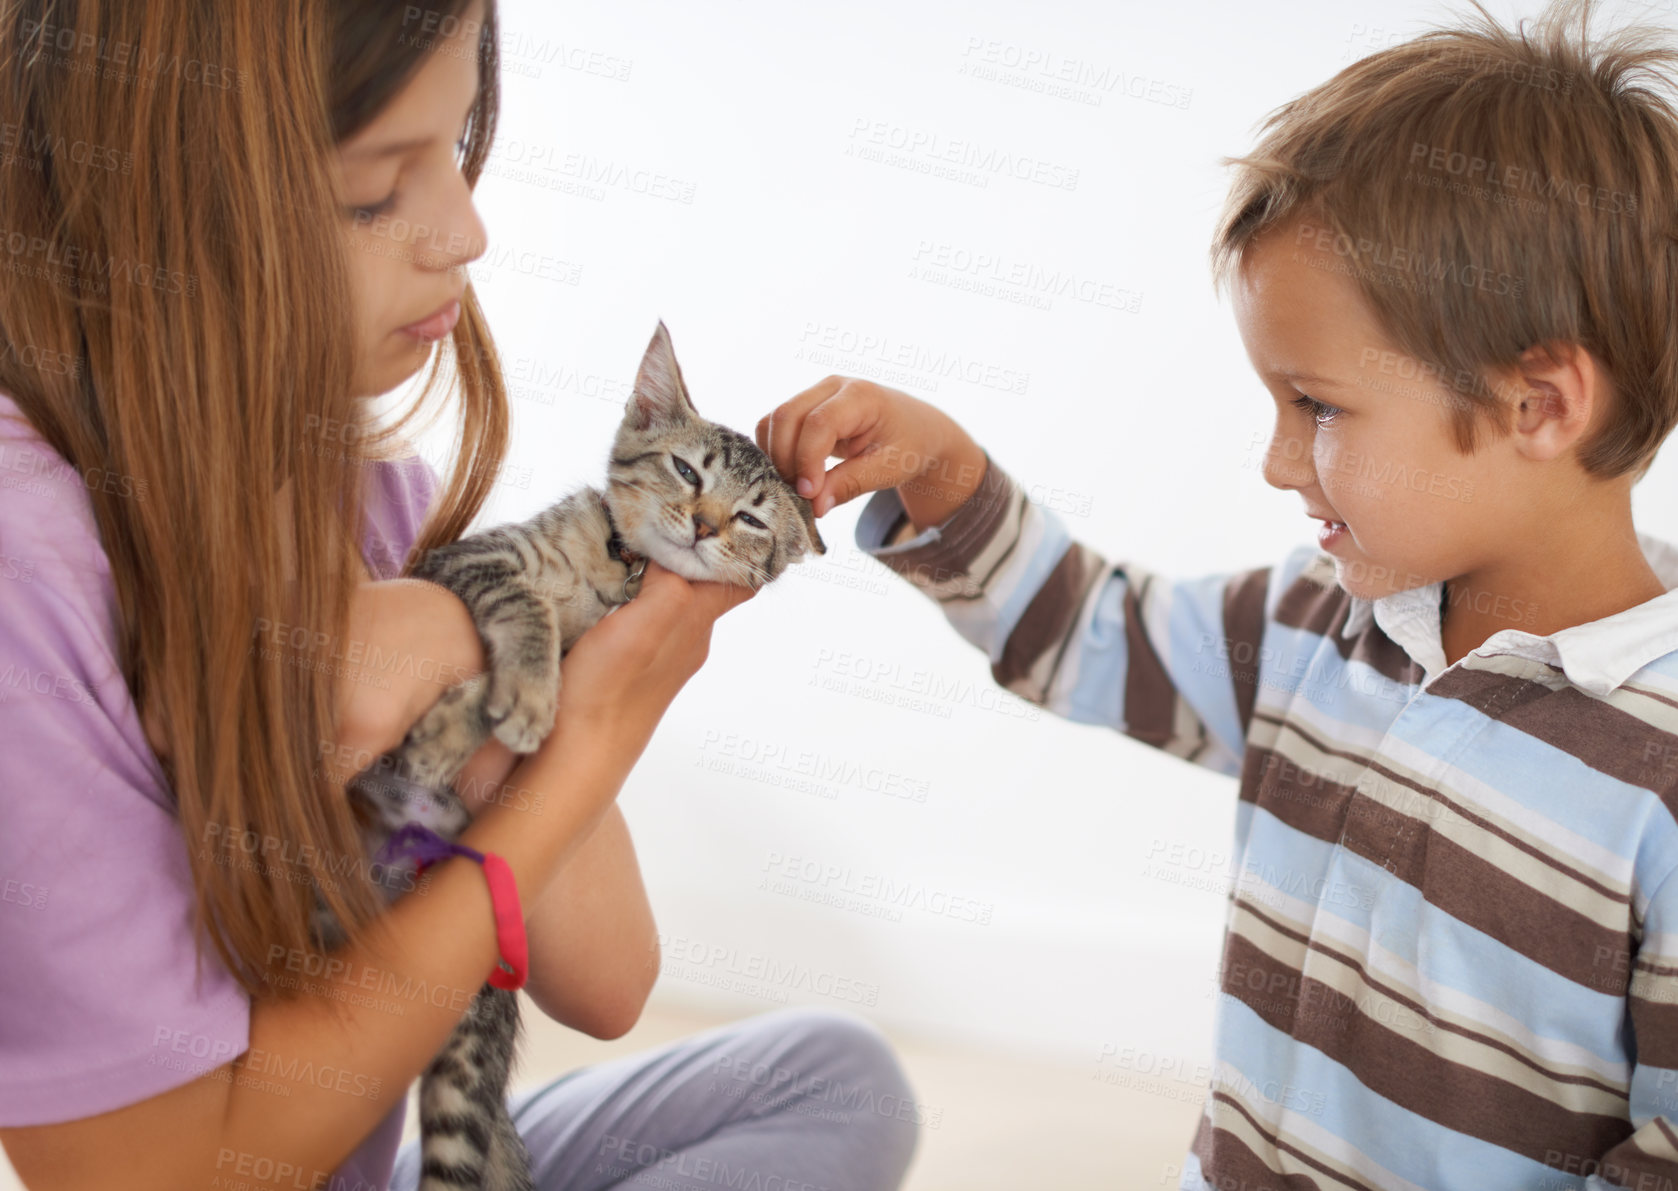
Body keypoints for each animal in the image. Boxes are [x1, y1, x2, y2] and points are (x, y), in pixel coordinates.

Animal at [313, 322, 825, 1191]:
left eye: (752, 520)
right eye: (687, 470)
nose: (704, 525)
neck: (614, 568)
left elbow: (538, 651)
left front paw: (496, 707)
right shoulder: (467, 560)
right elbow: (527, 607)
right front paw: (523, 686)